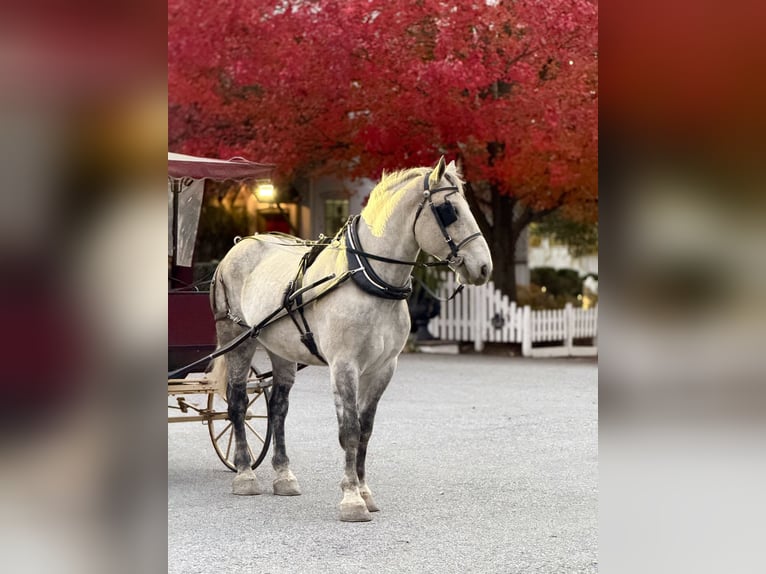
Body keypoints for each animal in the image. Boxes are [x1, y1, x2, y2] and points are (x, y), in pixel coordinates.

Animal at [209, 157, 492, 522]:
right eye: (448, 210)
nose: (483, 267)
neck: (370, 278)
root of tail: (240, 244)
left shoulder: (383, 367)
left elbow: (365, 429)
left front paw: (364, 491)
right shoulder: (344, 365)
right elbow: (350, 430)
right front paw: (352, 499)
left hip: (281, 349)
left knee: (278, 409)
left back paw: (284, 475)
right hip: (239, 340)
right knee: (238, 403)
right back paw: (245, 473)